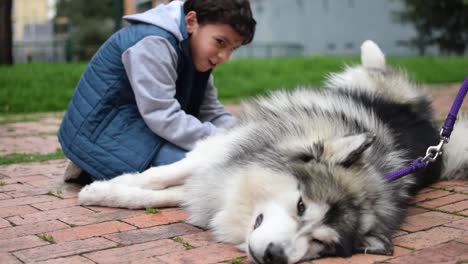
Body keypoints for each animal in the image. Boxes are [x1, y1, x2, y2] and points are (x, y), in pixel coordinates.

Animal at [77, 40, 468, 262]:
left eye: (322, 243)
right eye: (301, 206)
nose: (274, 256)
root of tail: (427, 124)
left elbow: (168, 194)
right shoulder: (225, 150)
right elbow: (159, 177)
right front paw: (101, 190)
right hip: (367, 83)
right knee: (373, 66)